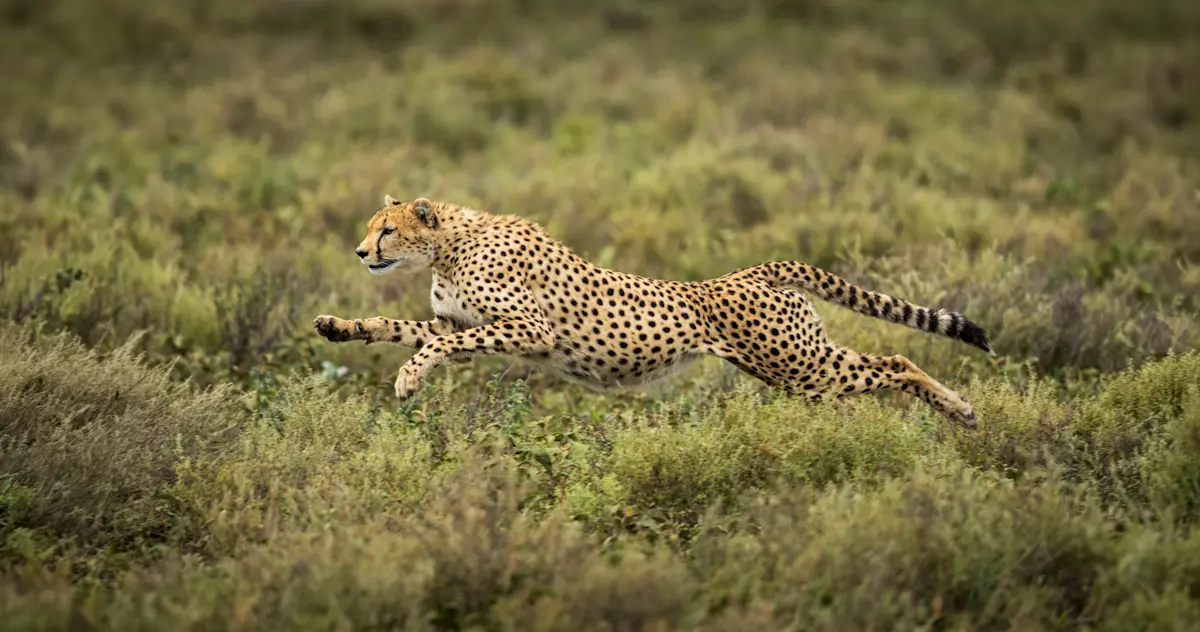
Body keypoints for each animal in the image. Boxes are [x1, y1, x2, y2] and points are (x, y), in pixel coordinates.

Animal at [314, 195, 994, 429]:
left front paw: (408, 379)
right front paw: (341, 326)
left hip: (801, 367)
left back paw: (961, 411)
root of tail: (751, 271)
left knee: (898, 361)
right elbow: (401, 328)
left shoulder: (526, 329)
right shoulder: (458, 321)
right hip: (796, 366)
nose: (360, 251)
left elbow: (435, 346)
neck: (450, 244)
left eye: (386, 229)